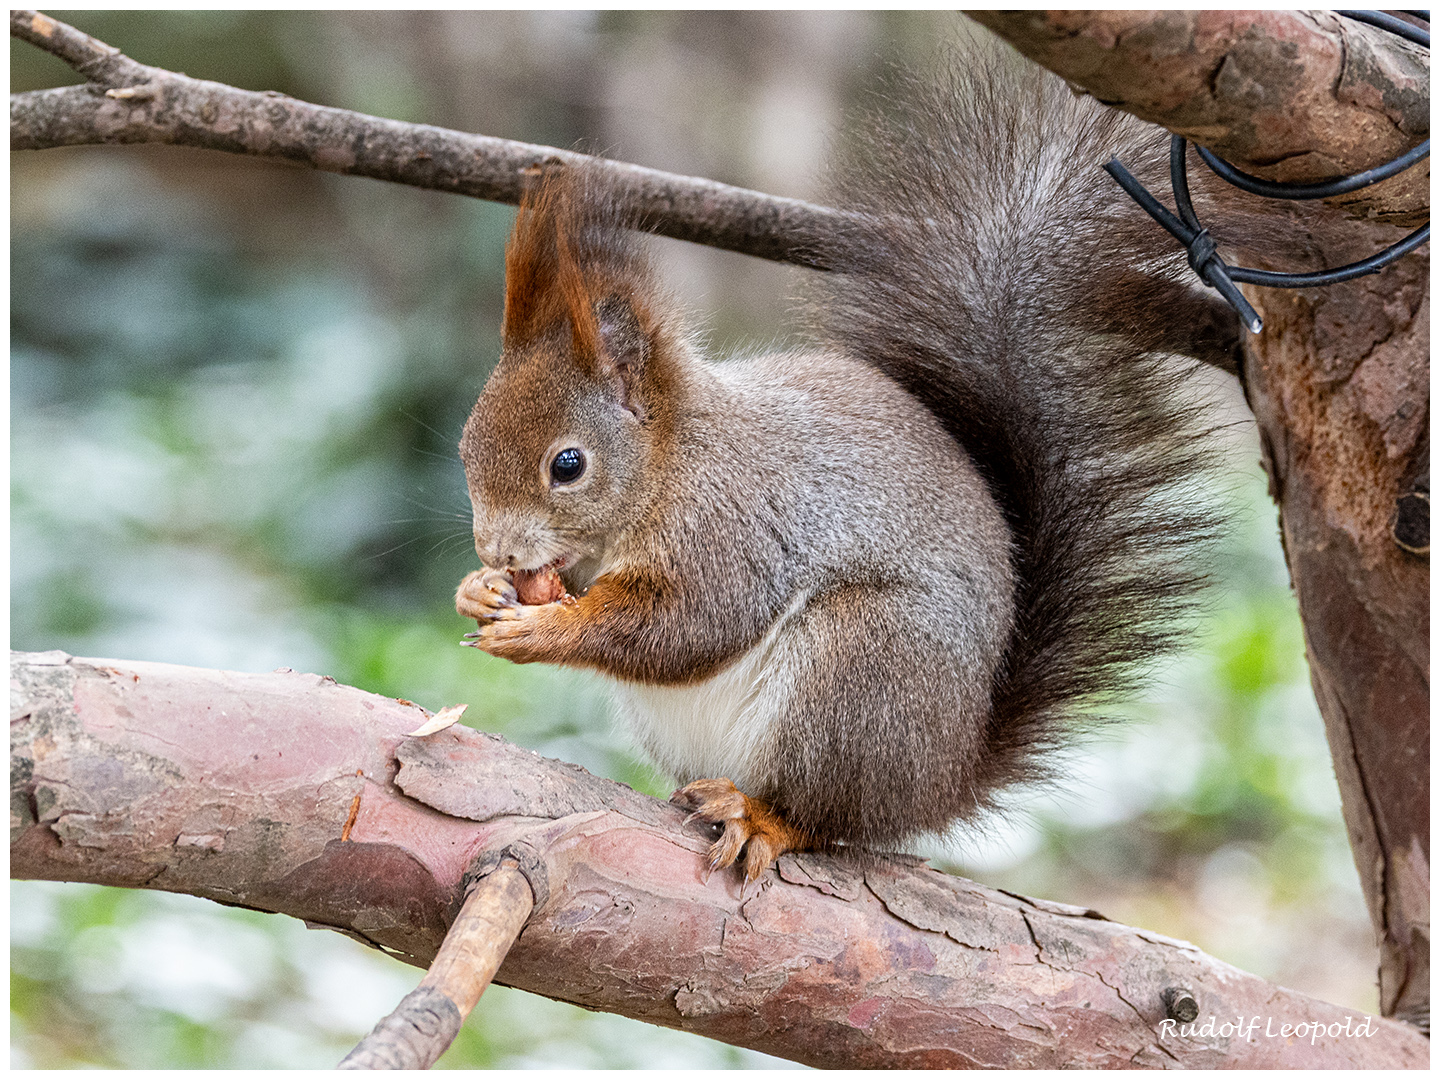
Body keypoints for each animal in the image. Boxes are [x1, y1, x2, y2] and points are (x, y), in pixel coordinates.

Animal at [455, 48, 1232, 881]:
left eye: (568, 464)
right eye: (465, 447)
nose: (495, 548)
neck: (673, 461)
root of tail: (943, 781)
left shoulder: (733, 524)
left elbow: (689, 622)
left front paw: (543, 630)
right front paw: (480, 590)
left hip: (862, 670)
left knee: (824, 816)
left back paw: (762, 816)